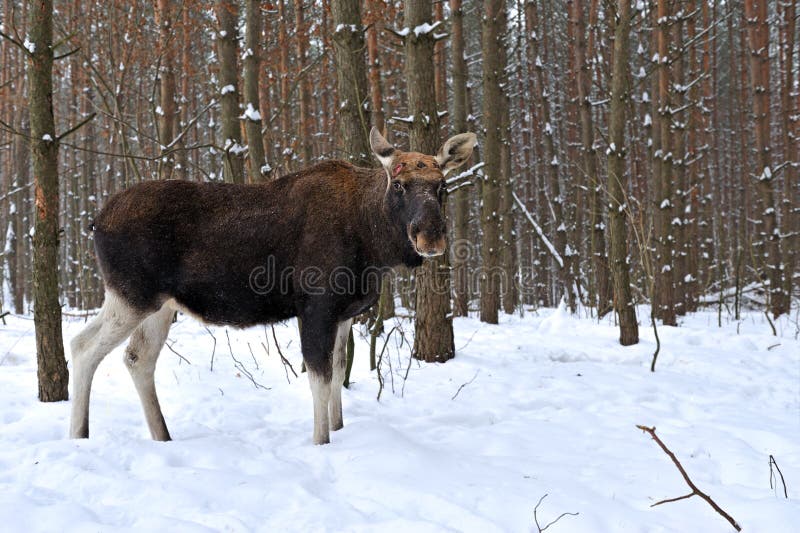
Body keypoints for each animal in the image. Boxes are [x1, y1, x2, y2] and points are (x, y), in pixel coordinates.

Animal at [69, 127, 476, 442]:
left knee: (137, 358)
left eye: (441, 185)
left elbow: (338, 371)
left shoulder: (346, 312)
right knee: (83, 346)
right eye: (400, 185)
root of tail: (94, 221)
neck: (373, 242)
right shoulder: (315, 306)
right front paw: (321, 441)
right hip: (131, 295)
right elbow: (320, 378)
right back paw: (79, 434)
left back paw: (162, 435)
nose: (431, 236)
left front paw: (339, 428)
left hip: (161, 305)